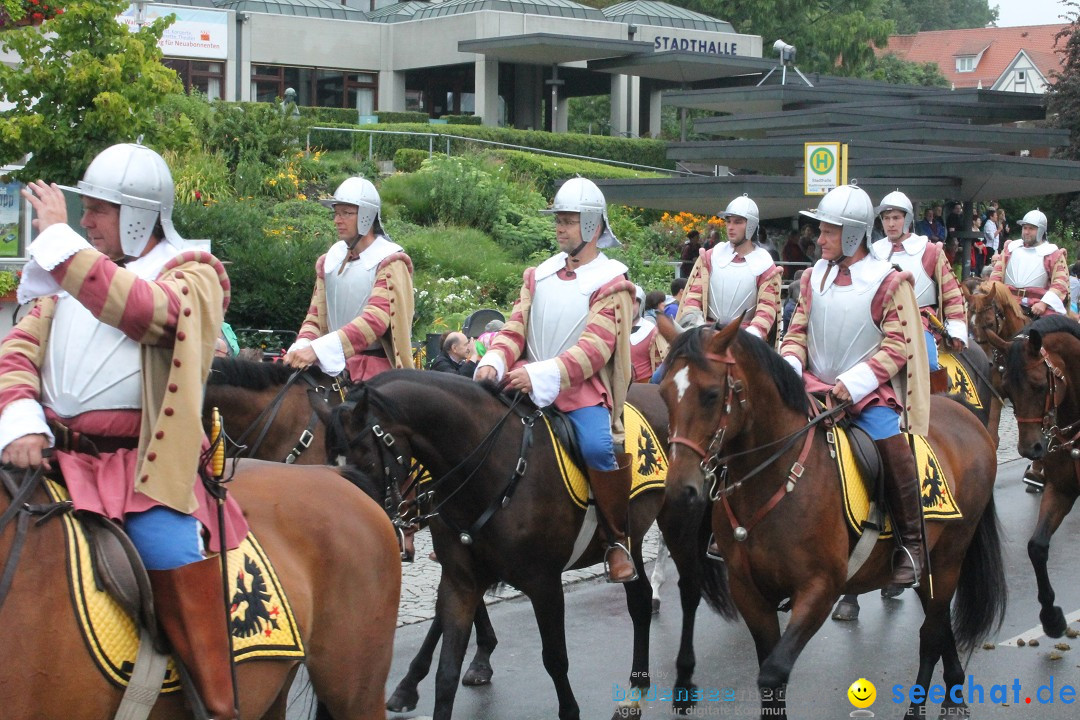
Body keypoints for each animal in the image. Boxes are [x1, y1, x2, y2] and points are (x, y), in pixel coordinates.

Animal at [324, 371, 673, 720]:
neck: (491, 470)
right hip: (634, 543)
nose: (356, 525)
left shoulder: (544, 584)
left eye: (365, 458)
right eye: (329, 461)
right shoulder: (461, 582)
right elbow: (446, 671)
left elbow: (555, 658)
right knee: (640, 602)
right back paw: (636, 689)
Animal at [660, 323, 1006, 716]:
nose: (680, 489)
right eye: (664, 393)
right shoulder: (749, 593)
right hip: (929, 567)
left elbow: (773, 673)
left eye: (711, 394)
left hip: (950, 558)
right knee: (940, 625)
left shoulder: (819, 589)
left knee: (931, 635)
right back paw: (954, 694)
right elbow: (769, 678)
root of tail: (967, 417)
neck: (777, 477)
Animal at [989, 315, 1080, 634]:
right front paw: (1051, 616)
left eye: (1040, 385)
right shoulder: (1062, 489)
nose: (1031, 448)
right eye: (1006, 389)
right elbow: (1037, 547)